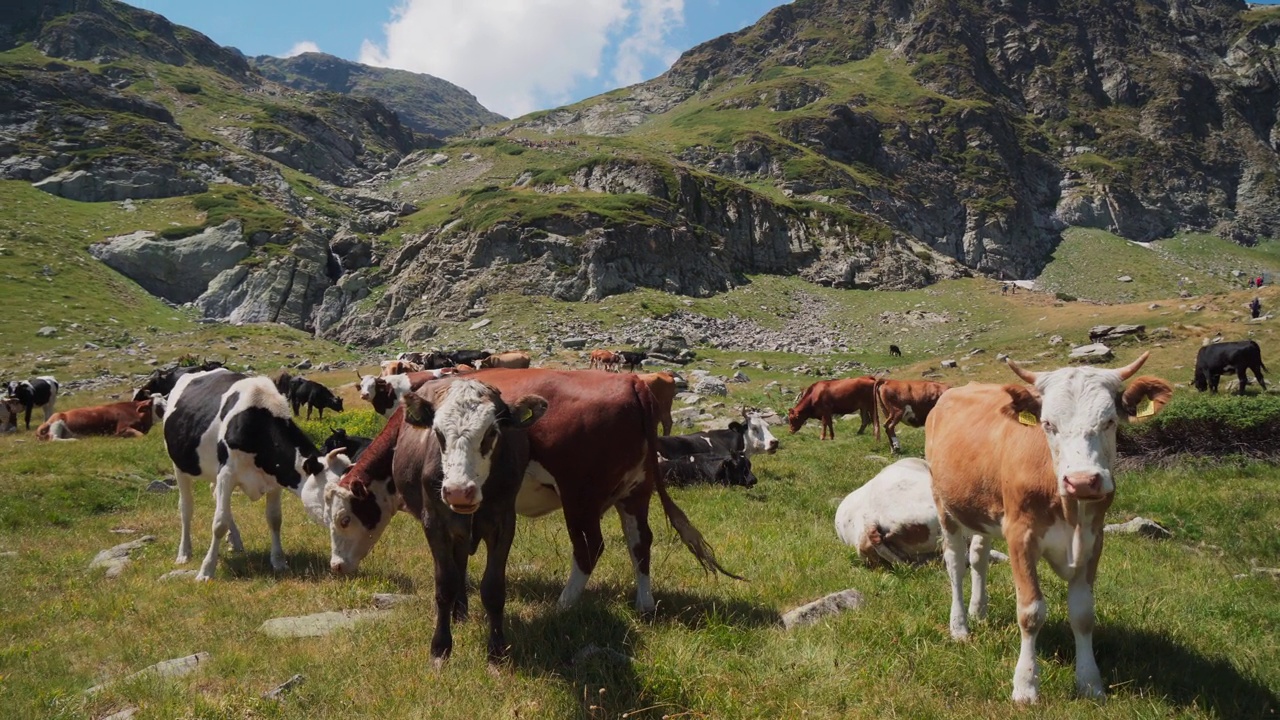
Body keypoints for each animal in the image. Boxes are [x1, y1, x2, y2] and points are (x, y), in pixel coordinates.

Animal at [162, 366, 348, 579]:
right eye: (327, 495)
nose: (345, 519)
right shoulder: (226, 474)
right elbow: (219, 523)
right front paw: (206, 570)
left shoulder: (275, 480)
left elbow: (274, 519)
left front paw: (279, 561)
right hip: (180, 466)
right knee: (186, 508)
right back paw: (184, 553)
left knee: (216, 497)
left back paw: (235, 542)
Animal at [320, 363, 742, 609]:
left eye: (343, 520)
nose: (336, 566)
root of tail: (633, 383)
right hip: (634, 492)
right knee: (641, 543)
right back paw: (644, 603)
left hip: (580, 498)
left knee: (590, 548)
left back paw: (564, 605)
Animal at [926, 353, 1172, 702]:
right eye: (1048, 424)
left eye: (1110, 421)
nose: (1082, 480)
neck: (1070, 511)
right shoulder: (1020, 536)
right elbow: (1030, 612)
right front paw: (1025, 686)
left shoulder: (1093, 539)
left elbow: (1083, 614)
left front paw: (1090, 682)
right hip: (944, 504)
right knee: (955, 564)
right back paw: (959, 626)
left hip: (984, 509)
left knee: (978, 556)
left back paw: (979, 610)